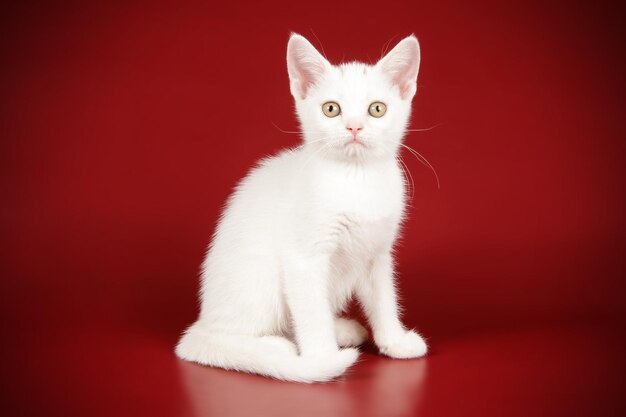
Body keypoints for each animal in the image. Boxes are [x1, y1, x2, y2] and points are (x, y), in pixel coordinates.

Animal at [178, 34, 426, 382]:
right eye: (331, 109)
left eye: (377, 109)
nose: (354, 127)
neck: (355, 178)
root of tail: (204, 320)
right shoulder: (303, 258)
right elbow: (311, 313)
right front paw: (322, 359)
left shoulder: (376, 253)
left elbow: (383, 298)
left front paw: (394, 341)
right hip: (258, 283)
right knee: (225, 337)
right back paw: (272, 348)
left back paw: (340, 330)